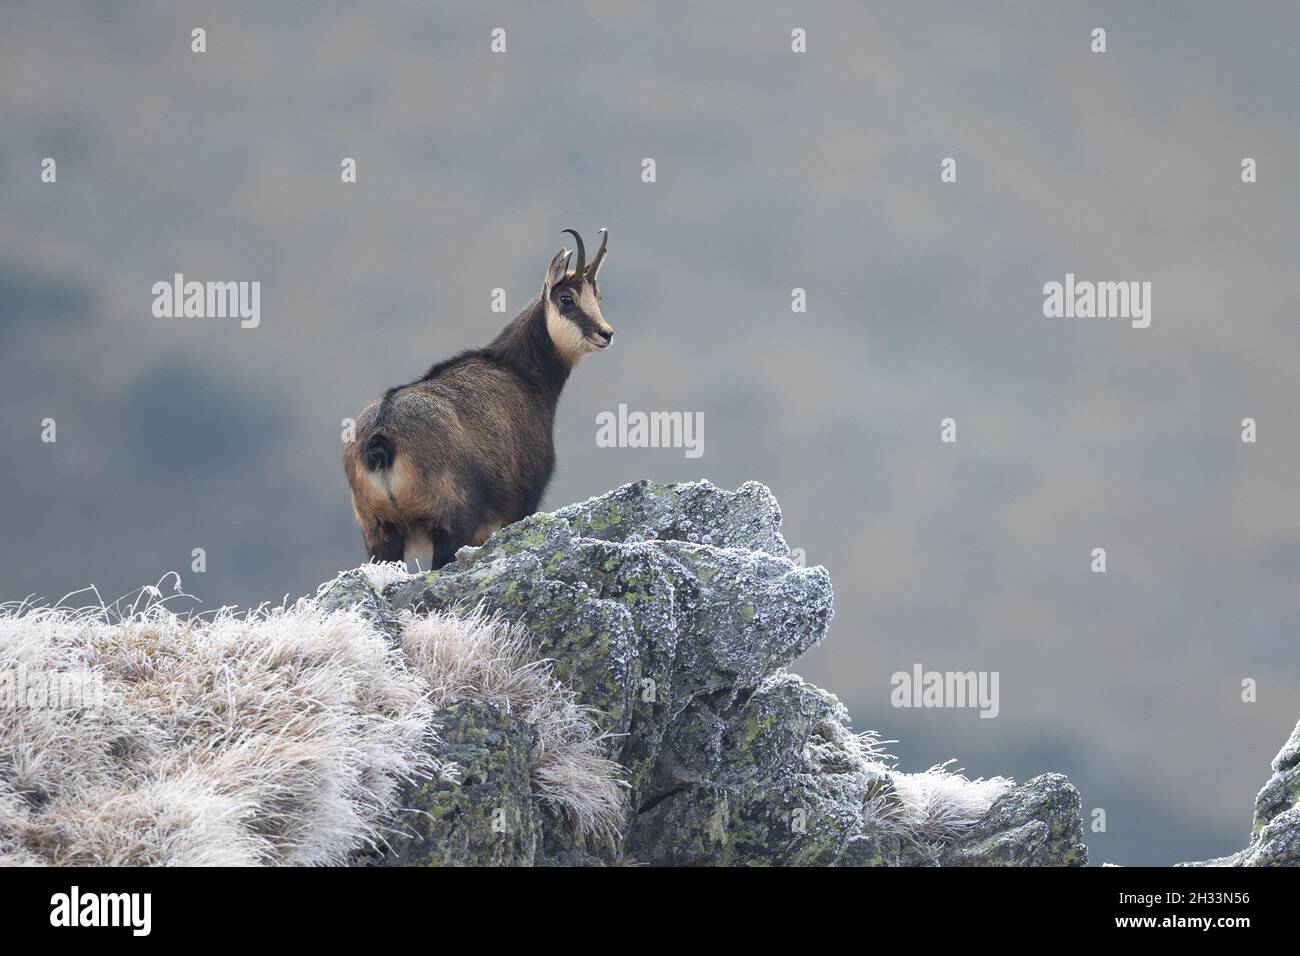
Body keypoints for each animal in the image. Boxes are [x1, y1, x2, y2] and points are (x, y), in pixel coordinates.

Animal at [343, 228, 613, 569]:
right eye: (567, 299)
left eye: (598, 297)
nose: (606, 333)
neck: (519, 374)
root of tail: (382, 437)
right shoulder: (522, 502)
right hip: (450, 521)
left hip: (377, 530)